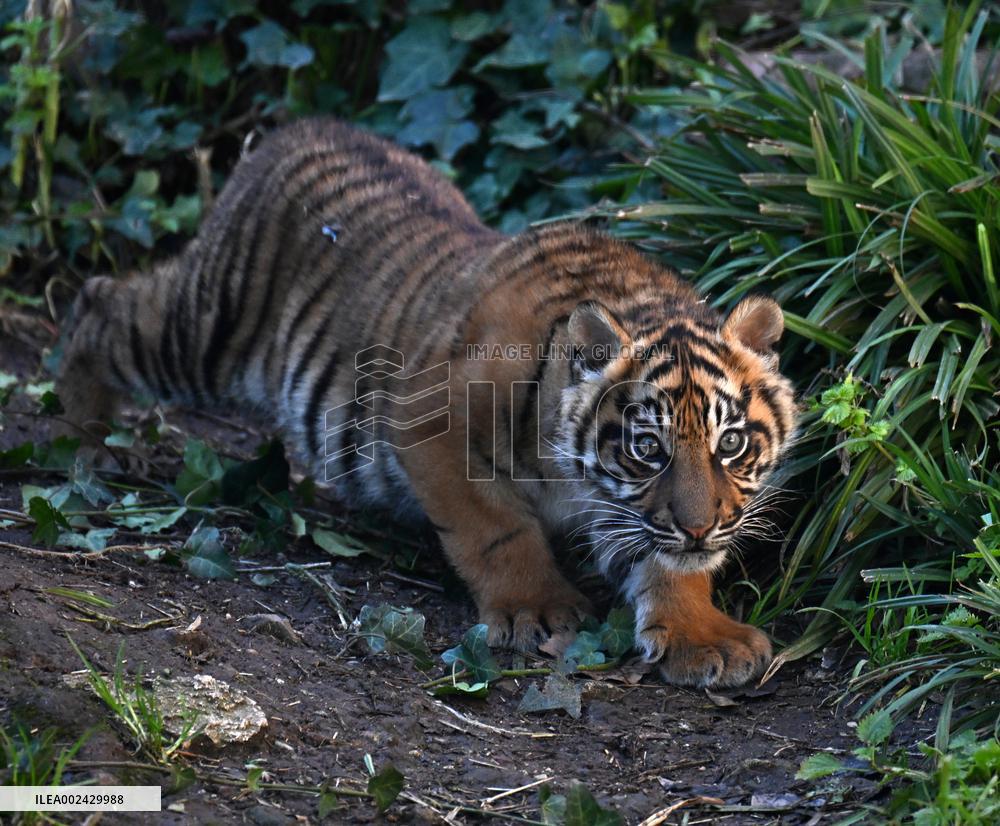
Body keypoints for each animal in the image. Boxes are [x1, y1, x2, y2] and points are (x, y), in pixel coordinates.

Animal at [57, 118, 797, 688]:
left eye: (731, 443)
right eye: (648, 449)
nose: (702, 530)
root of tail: (298, 128)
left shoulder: (626, 510)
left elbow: (663, 563)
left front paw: (705, 637)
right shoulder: (430, 426)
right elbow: (497, 530)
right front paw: (536, 610)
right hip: (204, 330)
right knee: (100, 303)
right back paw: (83, 435)